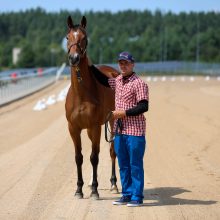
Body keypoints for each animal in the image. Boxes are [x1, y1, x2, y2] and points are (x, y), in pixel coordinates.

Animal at [65, 14, 118, 199]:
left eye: (84, 37)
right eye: (67, 37)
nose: (74, 58)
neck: (81, 94)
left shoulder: (95, 126)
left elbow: (94, 157)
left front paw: (95, 190)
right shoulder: (74, 128)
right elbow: (79, 157)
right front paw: (79, 189)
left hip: (112, 122)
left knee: (112, 151)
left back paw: (114, 184)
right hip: (88, 130)